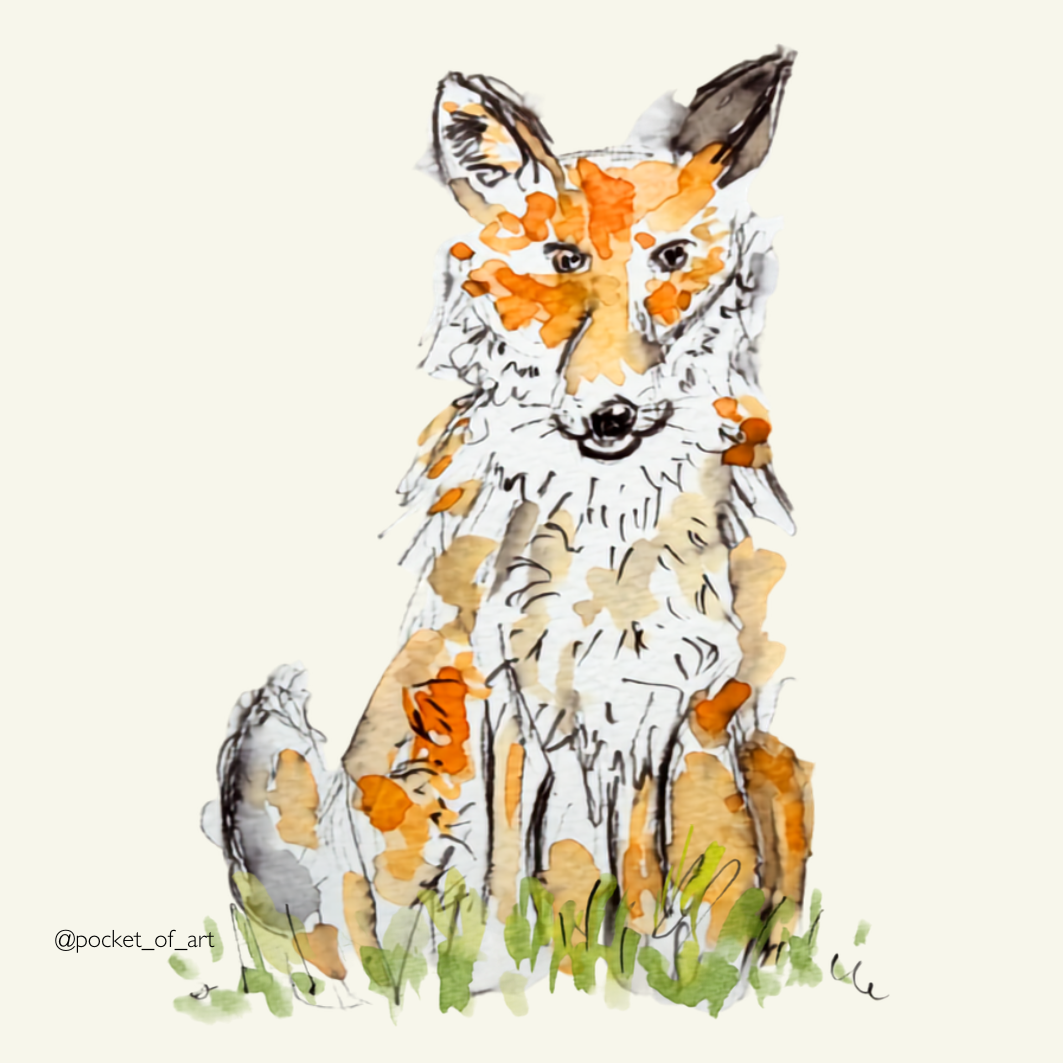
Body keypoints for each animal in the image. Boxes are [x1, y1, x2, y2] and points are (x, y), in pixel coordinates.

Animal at [202, 47, 814, 1011]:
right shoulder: (504, 689)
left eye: (672, 257)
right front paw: (502, 978)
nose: (609, 411)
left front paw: (640, 973)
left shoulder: (663, 701)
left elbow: (641, 880)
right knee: (363, 939)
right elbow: (501, 878)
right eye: (563, 258)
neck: (606, 549)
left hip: (773, 763)